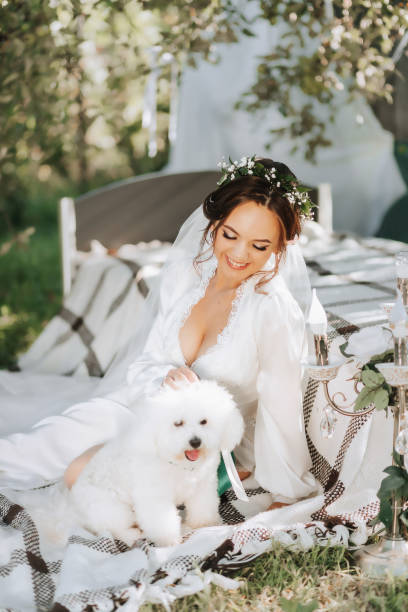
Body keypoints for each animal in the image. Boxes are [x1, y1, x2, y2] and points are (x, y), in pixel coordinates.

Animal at [68, 380, 244, 548]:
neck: (178, 462)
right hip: (113, 509)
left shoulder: (203, 487)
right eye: (178, 423)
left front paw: (204, 524)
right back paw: (132, 535)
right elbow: (162, 522)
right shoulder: (155, 497)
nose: (195, 442)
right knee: (112, 530)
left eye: (204, 421)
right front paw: (169, 541)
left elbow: (203, 506)